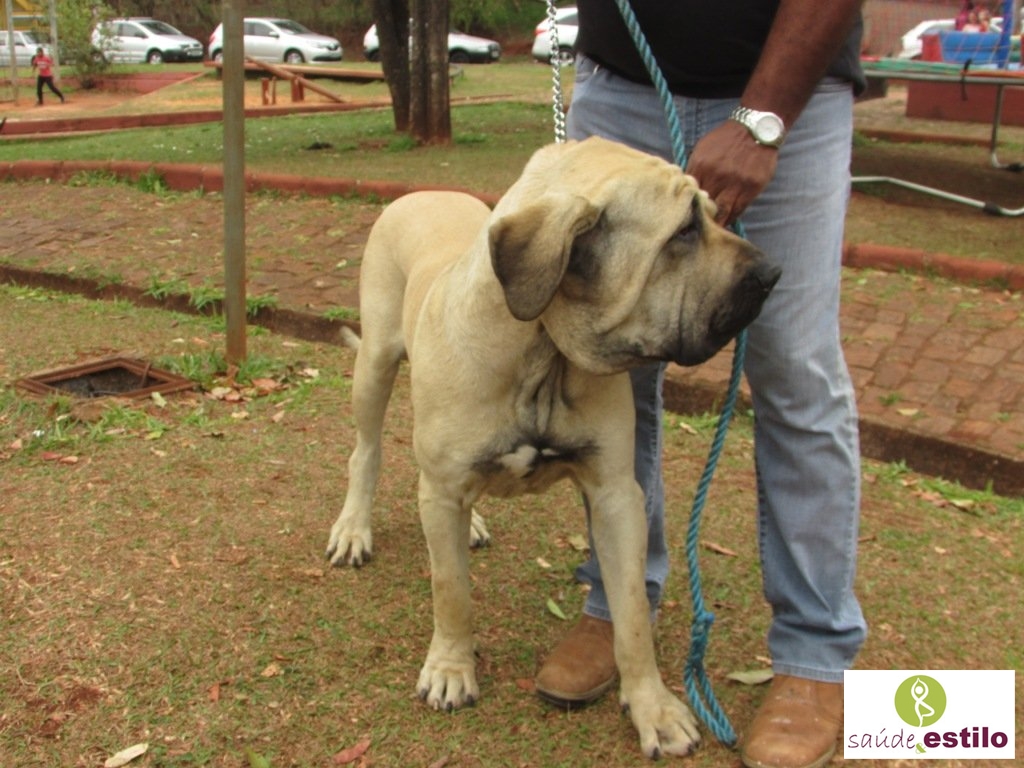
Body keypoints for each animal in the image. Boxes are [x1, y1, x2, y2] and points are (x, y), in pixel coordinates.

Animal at [326, 137, 780, 758]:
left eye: (713, 214)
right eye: (684, 230)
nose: (774, 272)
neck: (540, 349)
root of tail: (423, 191)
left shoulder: (615, 494)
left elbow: (631, 612)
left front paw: (653, 707)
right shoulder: (442, 489)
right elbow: (451, 590)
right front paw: (451, 668)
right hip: (374, 363)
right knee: (366, 452)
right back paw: (354, 528)